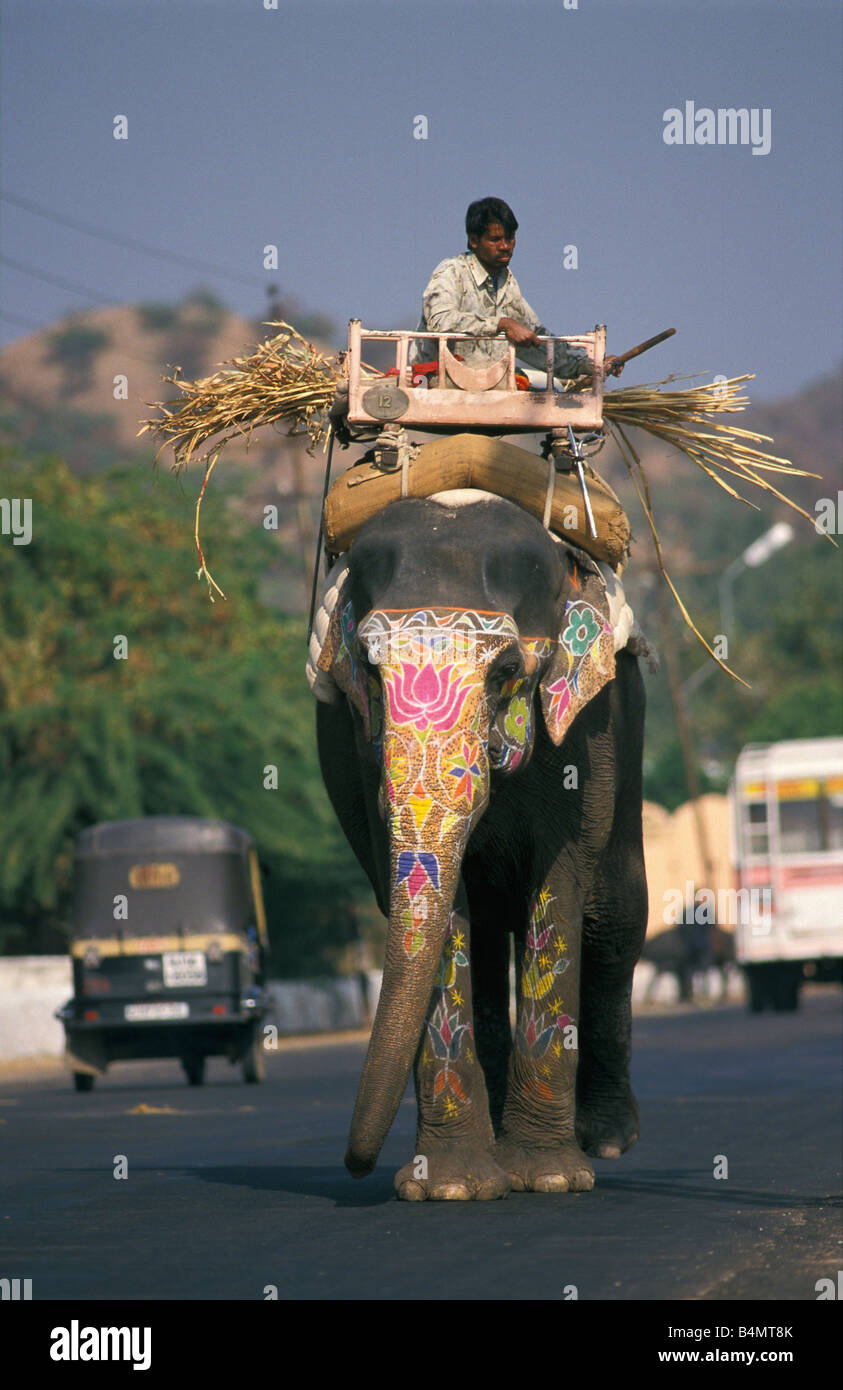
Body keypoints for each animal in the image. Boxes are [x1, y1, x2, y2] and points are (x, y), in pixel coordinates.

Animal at [314, 492, 651, 1206]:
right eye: (370, 671)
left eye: (506, 672)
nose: (355, 1168)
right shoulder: (358, 750)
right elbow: (430, 904)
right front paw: (448, 1187)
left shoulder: (586, 731)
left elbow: (562, 884)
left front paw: (550, 1178)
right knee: (494, 930)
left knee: (614, 915)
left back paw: (605, 1139)